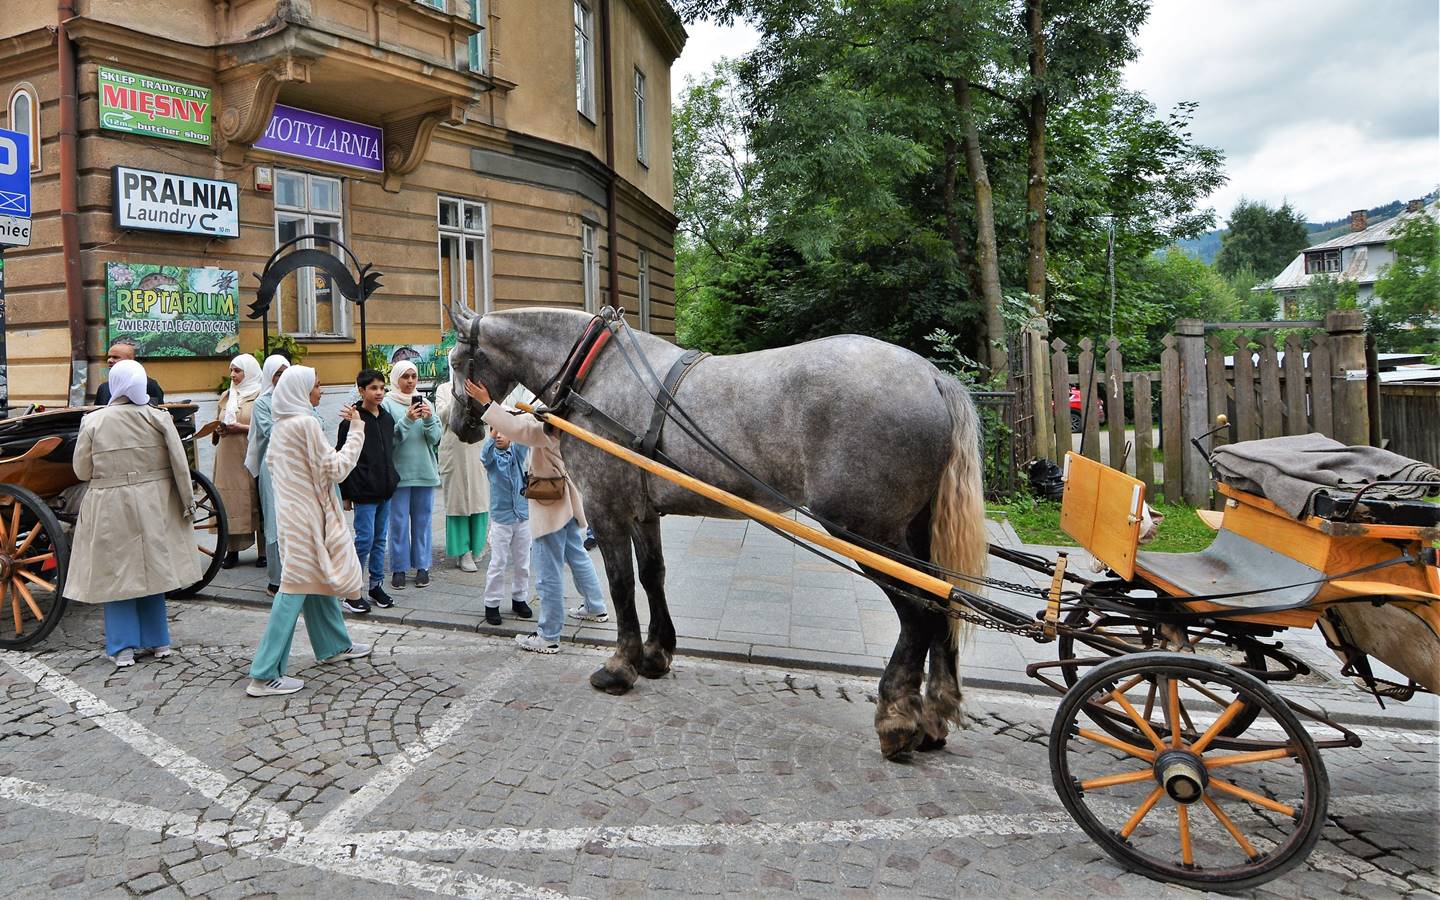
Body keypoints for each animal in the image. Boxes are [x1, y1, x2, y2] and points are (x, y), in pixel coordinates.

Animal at [446, 305, 990, 754]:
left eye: (453, 361)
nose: (457, 424)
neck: (596, 371)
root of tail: (931, 374)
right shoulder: (643, 512)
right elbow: (653, 576)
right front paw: (656, 654)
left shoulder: (607, 508)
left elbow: (621, 585)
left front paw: (621, 666)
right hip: (914, 534)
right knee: (944, 601)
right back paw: (936, 716)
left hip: (865, 533)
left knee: (918, 613)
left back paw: (897, 717)